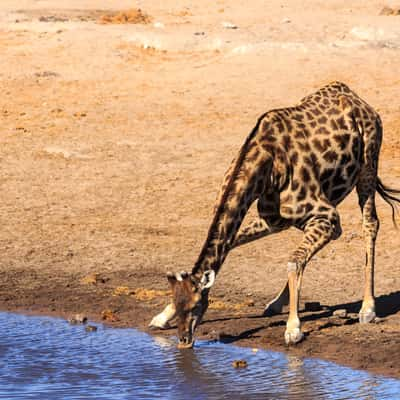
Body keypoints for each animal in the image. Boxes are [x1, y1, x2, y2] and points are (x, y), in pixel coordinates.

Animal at [148, 83, 398, 348]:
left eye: (196, 306)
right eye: (177, 304)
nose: (184, 341)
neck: (264, 166)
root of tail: (357, 98)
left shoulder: (326, 216)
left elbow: (293, 260)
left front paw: (293, 329)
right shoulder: (274, 220)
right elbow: (242, 245)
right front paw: (161, 317)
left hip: (368, 164)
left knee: (370, 224)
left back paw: (367, 308)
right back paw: (276, 303)